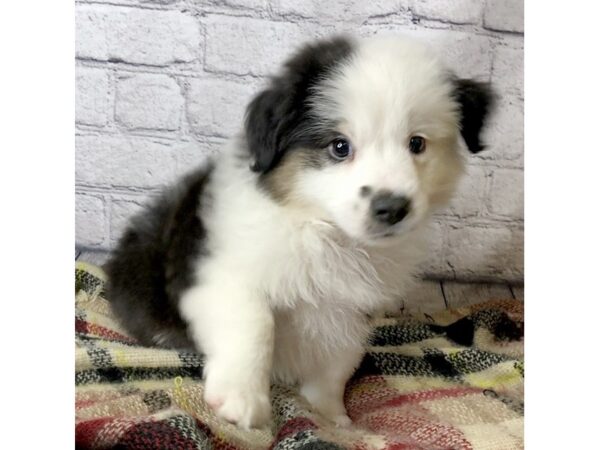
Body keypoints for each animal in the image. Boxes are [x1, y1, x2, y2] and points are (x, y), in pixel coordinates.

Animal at [106, 34, 492, 428]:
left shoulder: (351, 314)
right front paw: (241, 398)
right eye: (340, 146)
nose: (392, 208)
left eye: (417, 143)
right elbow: (255, 320)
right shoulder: (218, 275)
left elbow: (337, 366)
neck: (324, 233)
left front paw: (331, 418)